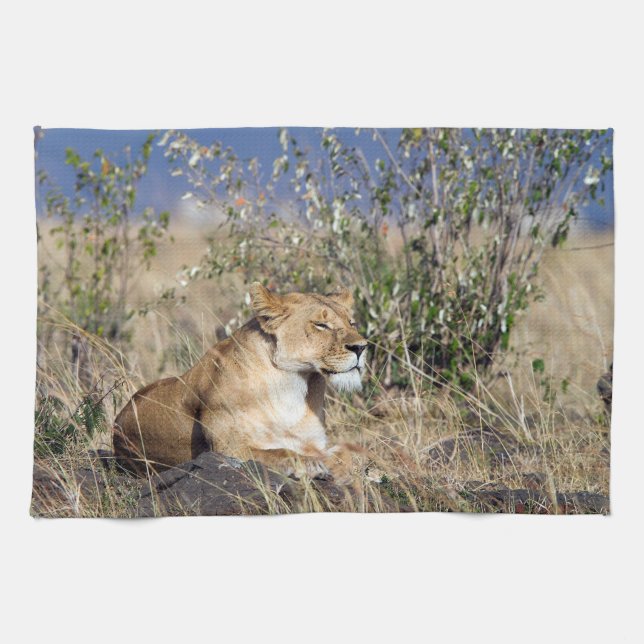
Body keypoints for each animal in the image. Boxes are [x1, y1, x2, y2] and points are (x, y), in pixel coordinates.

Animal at [112, 282, 368, 480]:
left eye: (352, 323)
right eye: (321, 325)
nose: (361, 347)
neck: (293, 384)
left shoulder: (316, 442)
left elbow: (349, 454)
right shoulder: (227, 450)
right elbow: (278, 452)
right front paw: (310, 465)